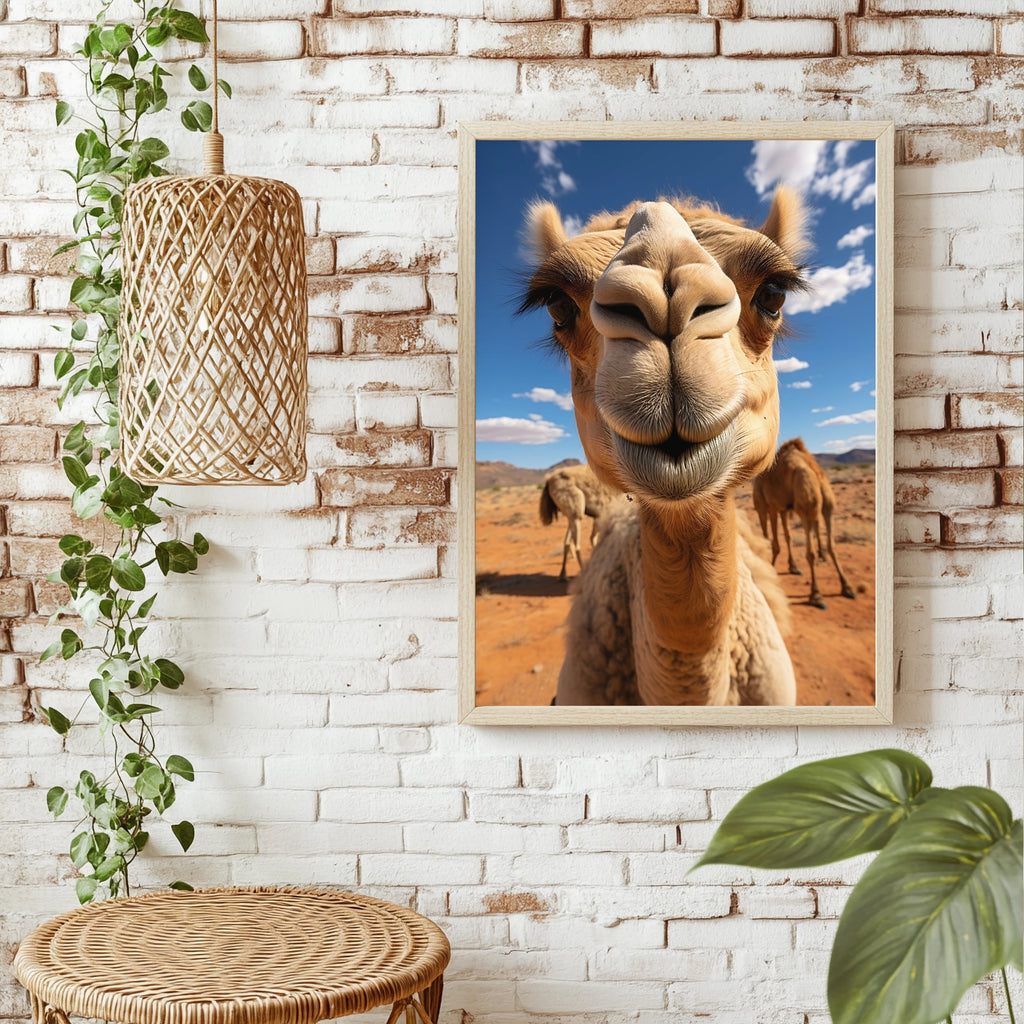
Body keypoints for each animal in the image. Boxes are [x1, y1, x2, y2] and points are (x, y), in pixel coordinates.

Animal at [752, 438, 856, 610]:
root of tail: (813, 469)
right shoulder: (782, 508)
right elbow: (786, 537)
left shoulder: (770, 507)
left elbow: (772, 541)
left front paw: (770, 567)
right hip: (827, 504)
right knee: (831, 545)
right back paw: (847, 588)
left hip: (803, 505)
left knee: (809, 551)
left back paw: (816, 595)